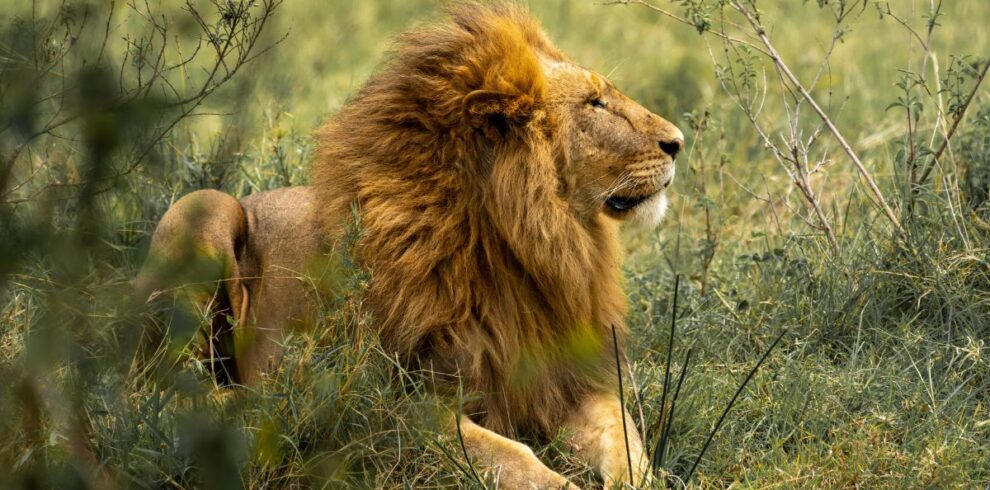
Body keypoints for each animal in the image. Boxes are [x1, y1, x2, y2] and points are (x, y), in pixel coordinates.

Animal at [136, 3, 683, 488]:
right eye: (595, 103)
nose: (678, 142)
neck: (525, 248)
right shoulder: (390, 404)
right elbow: (511, 455)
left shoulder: (571, 380)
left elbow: (625, 439)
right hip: (202, 208)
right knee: (156, 390)